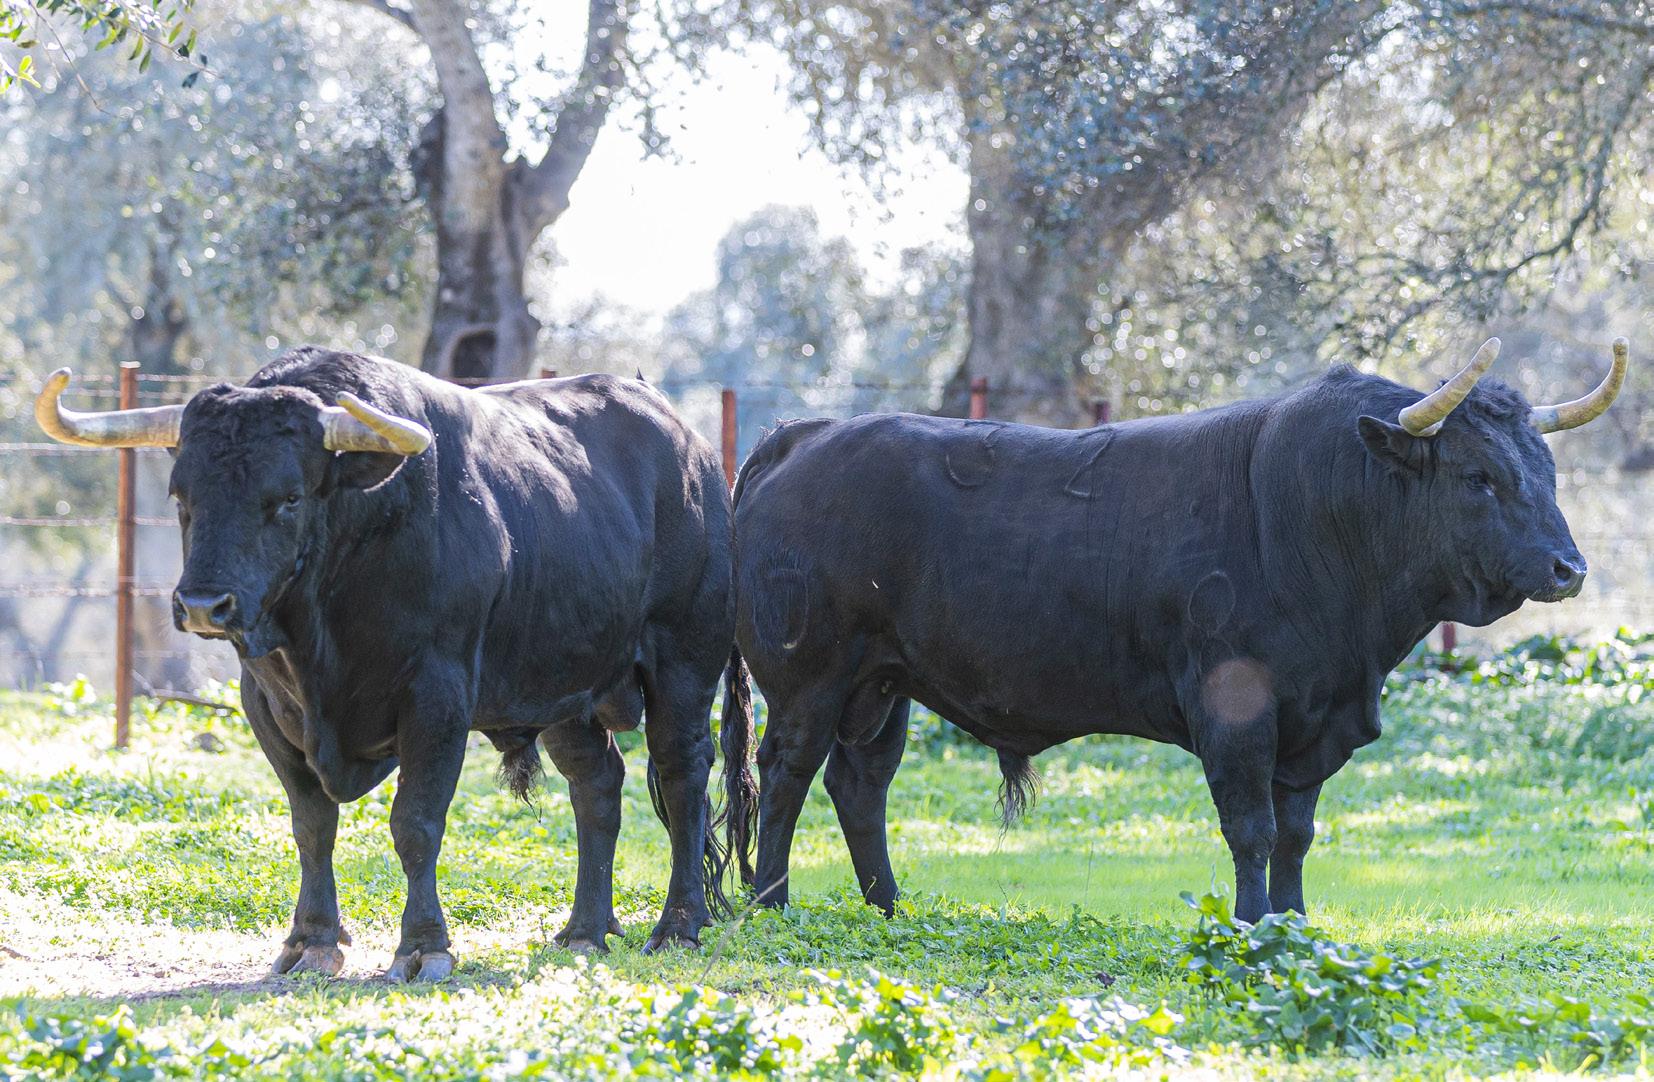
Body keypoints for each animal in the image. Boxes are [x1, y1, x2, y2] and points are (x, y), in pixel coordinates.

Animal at [36, 347, 756, 979]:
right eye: (182, 497)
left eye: (288, 497)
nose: (203, 605)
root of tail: (693, 452)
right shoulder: (264, 705)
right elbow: (311, 824)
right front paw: (311, 942)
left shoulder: (436, 700)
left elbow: (415, 824)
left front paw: (422, 948)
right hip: (563, 688)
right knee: (597, 784)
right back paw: (584, 929)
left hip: (684, 663)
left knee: (683, 775)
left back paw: (678, 925)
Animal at [729, 337, 1628, 925]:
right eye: (1479, 477)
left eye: (1546, 472)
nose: (1569, 568)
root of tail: (805, 434)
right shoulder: (1236, 709)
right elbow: (1253, 829)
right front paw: (1250, 925)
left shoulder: (1316, 718)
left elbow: (1297, 833)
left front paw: (1294, 925)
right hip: (810, 675)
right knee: (786, 772)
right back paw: (772, 902)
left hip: (884, 684)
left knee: (860, 783)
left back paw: (889, 905)